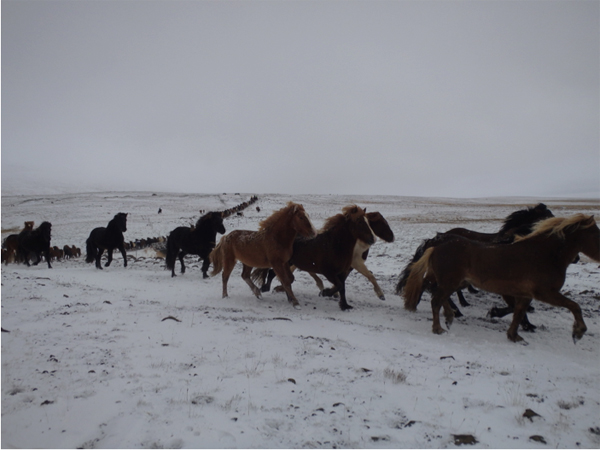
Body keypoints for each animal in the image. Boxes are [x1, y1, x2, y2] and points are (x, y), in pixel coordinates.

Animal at [404, 214, 600, 344]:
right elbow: (574, 306)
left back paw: (450, 316)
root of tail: (435, 246)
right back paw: (439, 327)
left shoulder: (525, 294)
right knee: (436, 299)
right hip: (449, 282)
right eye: (596, 233)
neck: (545, 255)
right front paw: (578, 332)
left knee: (435, 293)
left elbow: (519, 312)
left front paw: (514, 335)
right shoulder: (544, 292)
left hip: (450, 281)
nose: (577, 259)